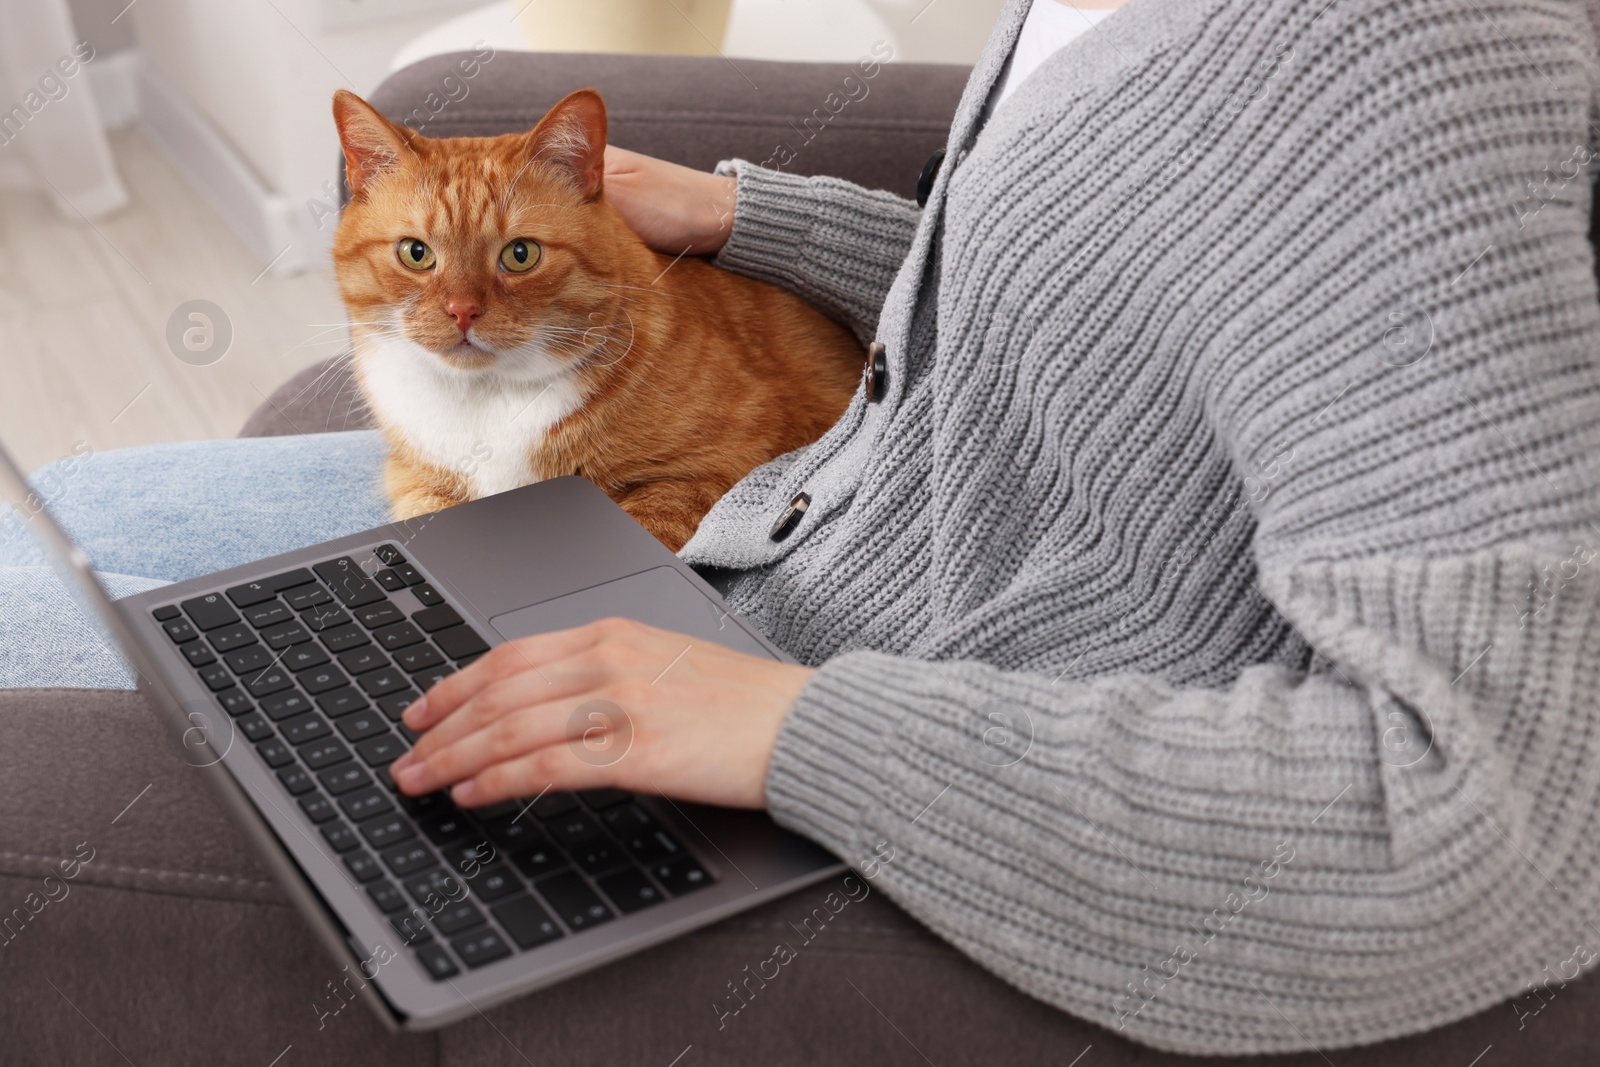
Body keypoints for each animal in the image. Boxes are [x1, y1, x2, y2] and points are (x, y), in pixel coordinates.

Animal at [329, 88, 870, 550]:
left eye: (521, 254)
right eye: (415, 253)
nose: (462, 310)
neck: (489, 399)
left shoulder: (723, 463)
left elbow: (650, 523)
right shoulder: (415, 481)